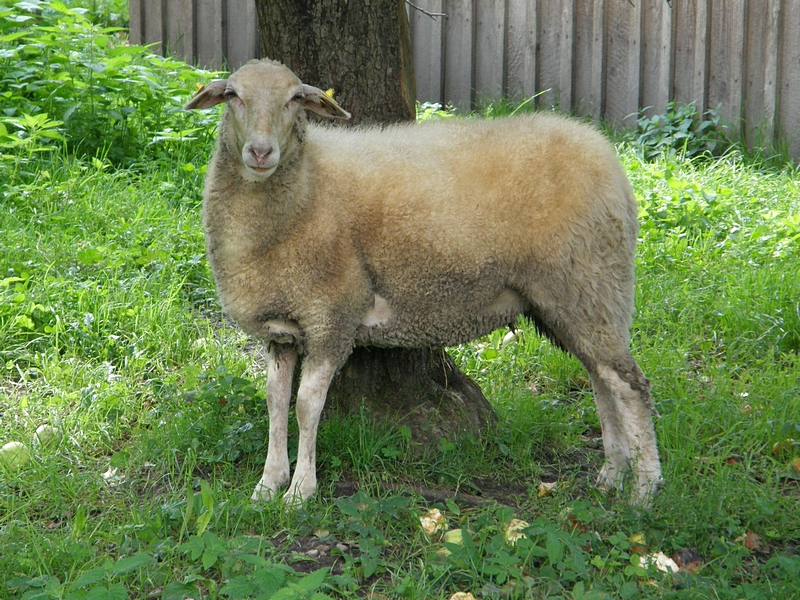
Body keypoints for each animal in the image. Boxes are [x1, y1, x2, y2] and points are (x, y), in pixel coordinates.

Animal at [188, 57, 664, 506]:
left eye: (294, 100)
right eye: (232, 96)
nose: (260, 152)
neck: (307, 187)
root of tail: (606, 154)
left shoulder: (333, 313)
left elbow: (306, 406)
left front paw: (301, 491)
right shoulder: (282, 325)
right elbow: (274, 401)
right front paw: (268, 484)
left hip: (589, 280)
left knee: (631, 387)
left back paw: (643, 491)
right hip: (576, 298)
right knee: (603, 382)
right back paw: (612, 475)